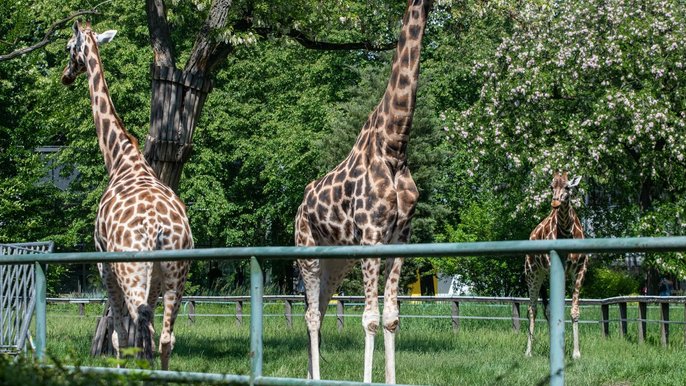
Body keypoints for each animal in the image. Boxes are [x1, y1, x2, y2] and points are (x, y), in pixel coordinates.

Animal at [60, 21, 194, 370]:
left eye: (69, 47)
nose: (66, 76)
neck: (120, 161)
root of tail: (159, 228)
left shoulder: (103, 264)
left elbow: (120, 335)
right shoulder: (156, 278)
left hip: (131, 270)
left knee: (141, 322)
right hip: (177, 273)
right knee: (165, 336)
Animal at [296, 0, 436, 382]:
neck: (394, 146)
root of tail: (299, 207)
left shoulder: (401, 236)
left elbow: (391, 318)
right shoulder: (372, 233)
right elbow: (370, 319)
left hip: (337, 260)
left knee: (321, 310)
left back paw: (314, 376)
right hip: (307, 252)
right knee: (310, 315)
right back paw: (314, 379)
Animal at [524, 171, 588, 358]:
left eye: (567, 187)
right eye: (551, 186)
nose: (555, 202)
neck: (566, 231)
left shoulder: (580, 270)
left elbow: (574, 311)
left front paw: (576, 353)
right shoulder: (557, 269)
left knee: (547, 310)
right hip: (532, 273)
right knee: (532, 309)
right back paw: (528, 351)